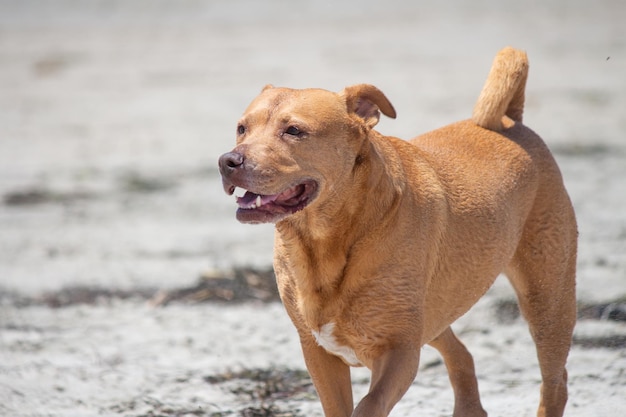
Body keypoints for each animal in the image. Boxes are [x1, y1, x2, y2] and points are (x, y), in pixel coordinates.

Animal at [218, 47, 576, 416]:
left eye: (294, 130)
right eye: (241, 128)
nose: (228, 161)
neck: (325, 240)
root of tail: (511, 122)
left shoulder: (399, 352)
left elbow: (369, 405)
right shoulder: (319, 352)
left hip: (546, 300)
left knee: (555, 381)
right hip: (432, 312)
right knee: (461, 353)